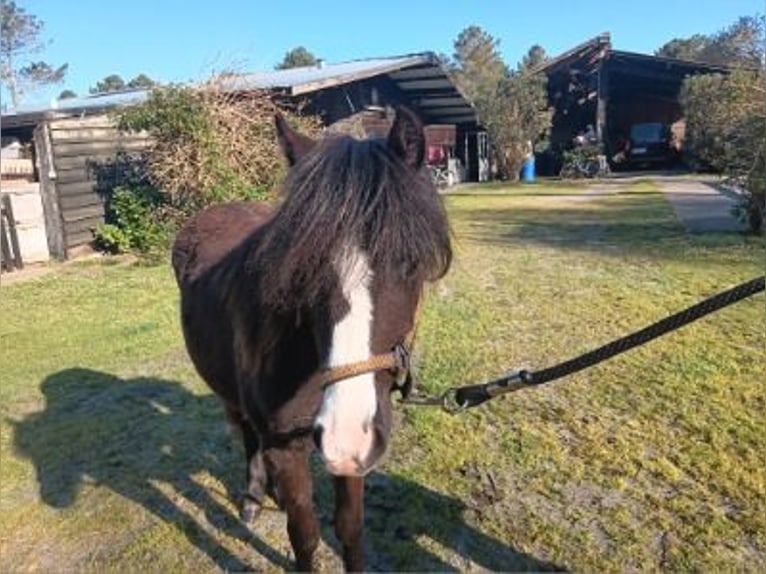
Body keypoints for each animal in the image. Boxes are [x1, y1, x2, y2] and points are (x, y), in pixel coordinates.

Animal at [171, 107, 452, 571]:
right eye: (301, 267)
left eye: (409, 262)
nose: (347, 433)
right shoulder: (287, 447)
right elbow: (304, 536)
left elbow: (350, 529)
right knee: (247, 434)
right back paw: (253, 497)